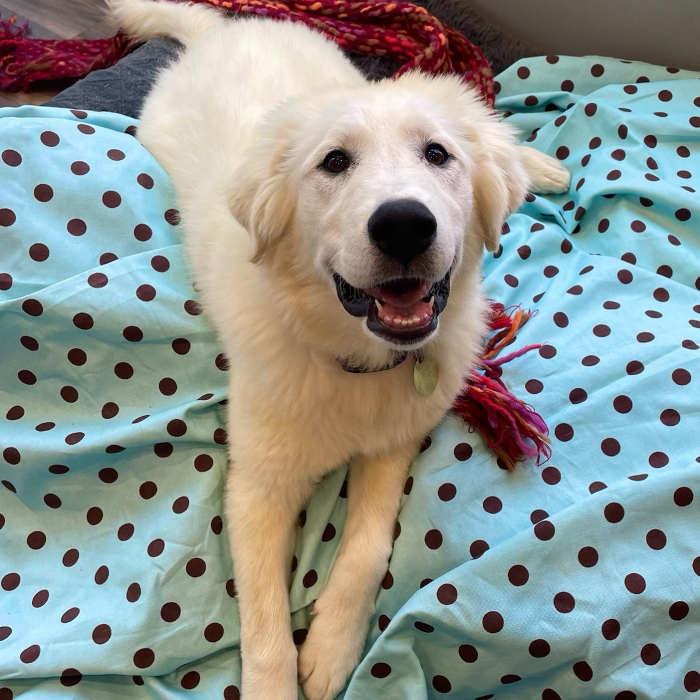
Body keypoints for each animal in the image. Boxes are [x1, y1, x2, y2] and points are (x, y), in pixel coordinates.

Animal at [109, 2, 568, 696]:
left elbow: (369, 547)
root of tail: (224, 30)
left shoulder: (394, 440)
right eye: (333, 163)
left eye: (437, 154)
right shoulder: (258, 486)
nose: (404, 225)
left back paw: (535, 164)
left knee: (495, 136)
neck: (354, 360)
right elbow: (264, 614)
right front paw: (276, 681)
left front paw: (330, 648)